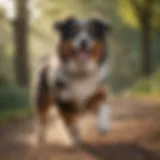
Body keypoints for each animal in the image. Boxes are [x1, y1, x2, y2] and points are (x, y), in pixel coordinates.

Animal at [32, 16, 111, 144]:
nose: (83, 41)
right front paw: (74, 138)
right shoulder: (63, 102)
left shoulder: (97, 93)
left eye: (92, 31)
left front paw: (103, 126)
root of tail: (47, 59)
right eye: (74, 31)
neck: (81, 71)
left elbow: (103, 106)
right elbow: (70, 122)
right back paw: (41, 137)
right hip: (42, 99)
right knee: (42, 118)